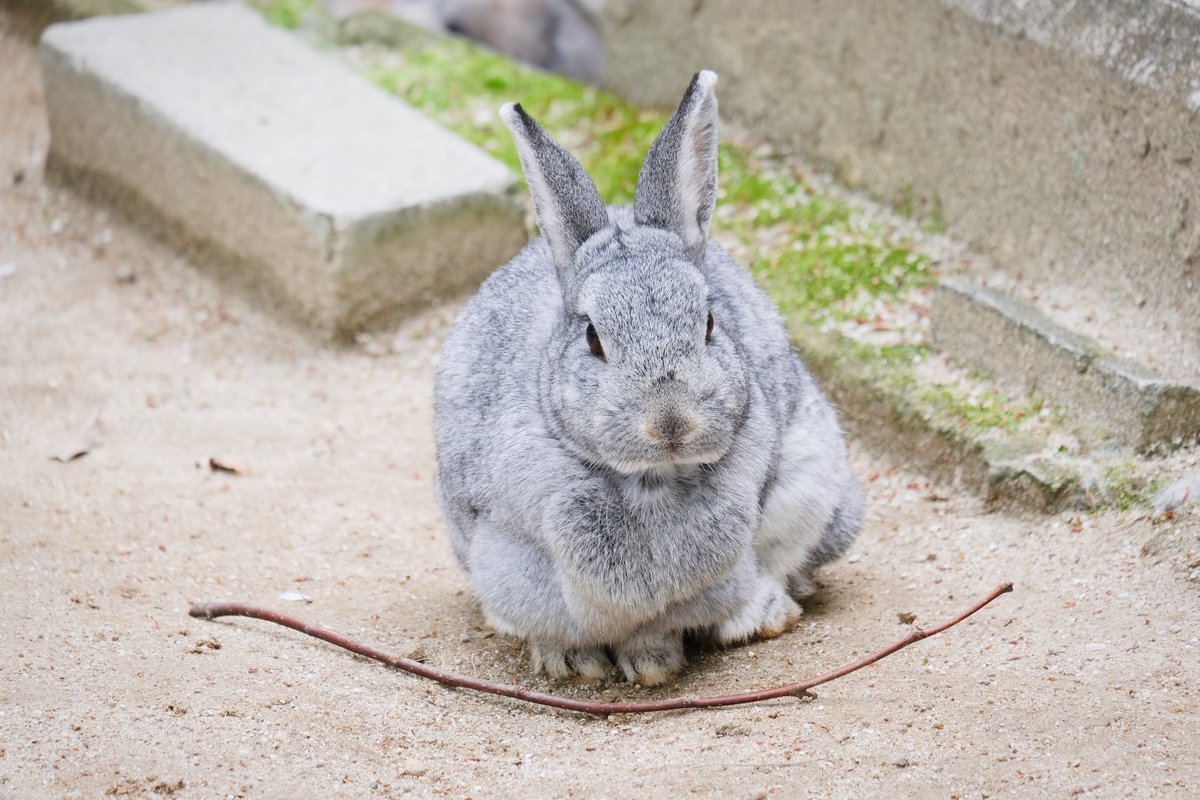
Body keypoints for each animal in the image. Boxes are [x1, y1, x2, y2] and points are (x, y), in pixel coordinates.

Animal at [432, 71, 864, 686]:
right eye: (593, 337)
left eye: (709, 323)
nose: (671, 423)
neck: (652, 479)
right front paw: (577, 663)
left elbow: (661, 628)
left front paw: (652, 665)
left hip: (818, 486)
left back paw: (761, 614)